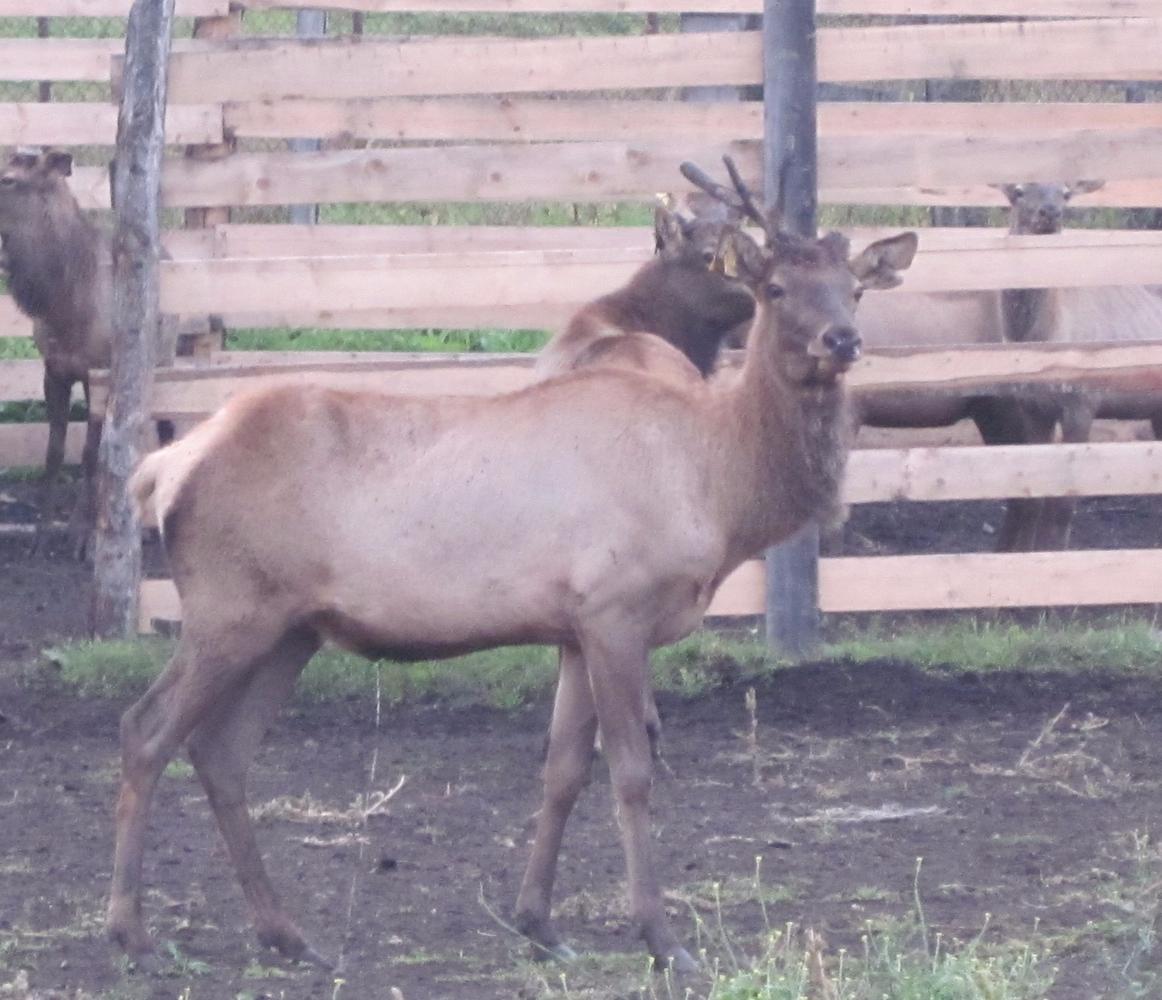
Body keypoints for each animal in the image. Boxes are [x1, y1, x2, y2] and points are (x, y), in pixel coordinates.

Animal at [0, 148, 176, 557]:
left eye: (9, 179)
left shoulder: (102, 371)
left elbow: (91, 456)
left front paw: (83, 536)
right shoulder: (55, 370)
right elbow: (55, 450)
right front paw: (42, 534)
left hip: (164, 358)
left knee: (160, 429)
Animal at [106, 157, 915, 975]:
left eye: (854, 287)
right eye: (774, 287)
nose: (843, 339)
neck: (717, 487)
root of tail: (163, 467)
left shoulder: (573, 626)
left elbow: (562, 771)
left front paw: (538, 922)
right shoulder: (616, 607)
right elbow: (630, 773)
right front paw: (662, 939)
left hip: (290, 628)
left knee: (221, 751)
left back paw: (287, 933)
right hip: (227, 607)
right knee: (146, 730)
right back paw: (131, 931)